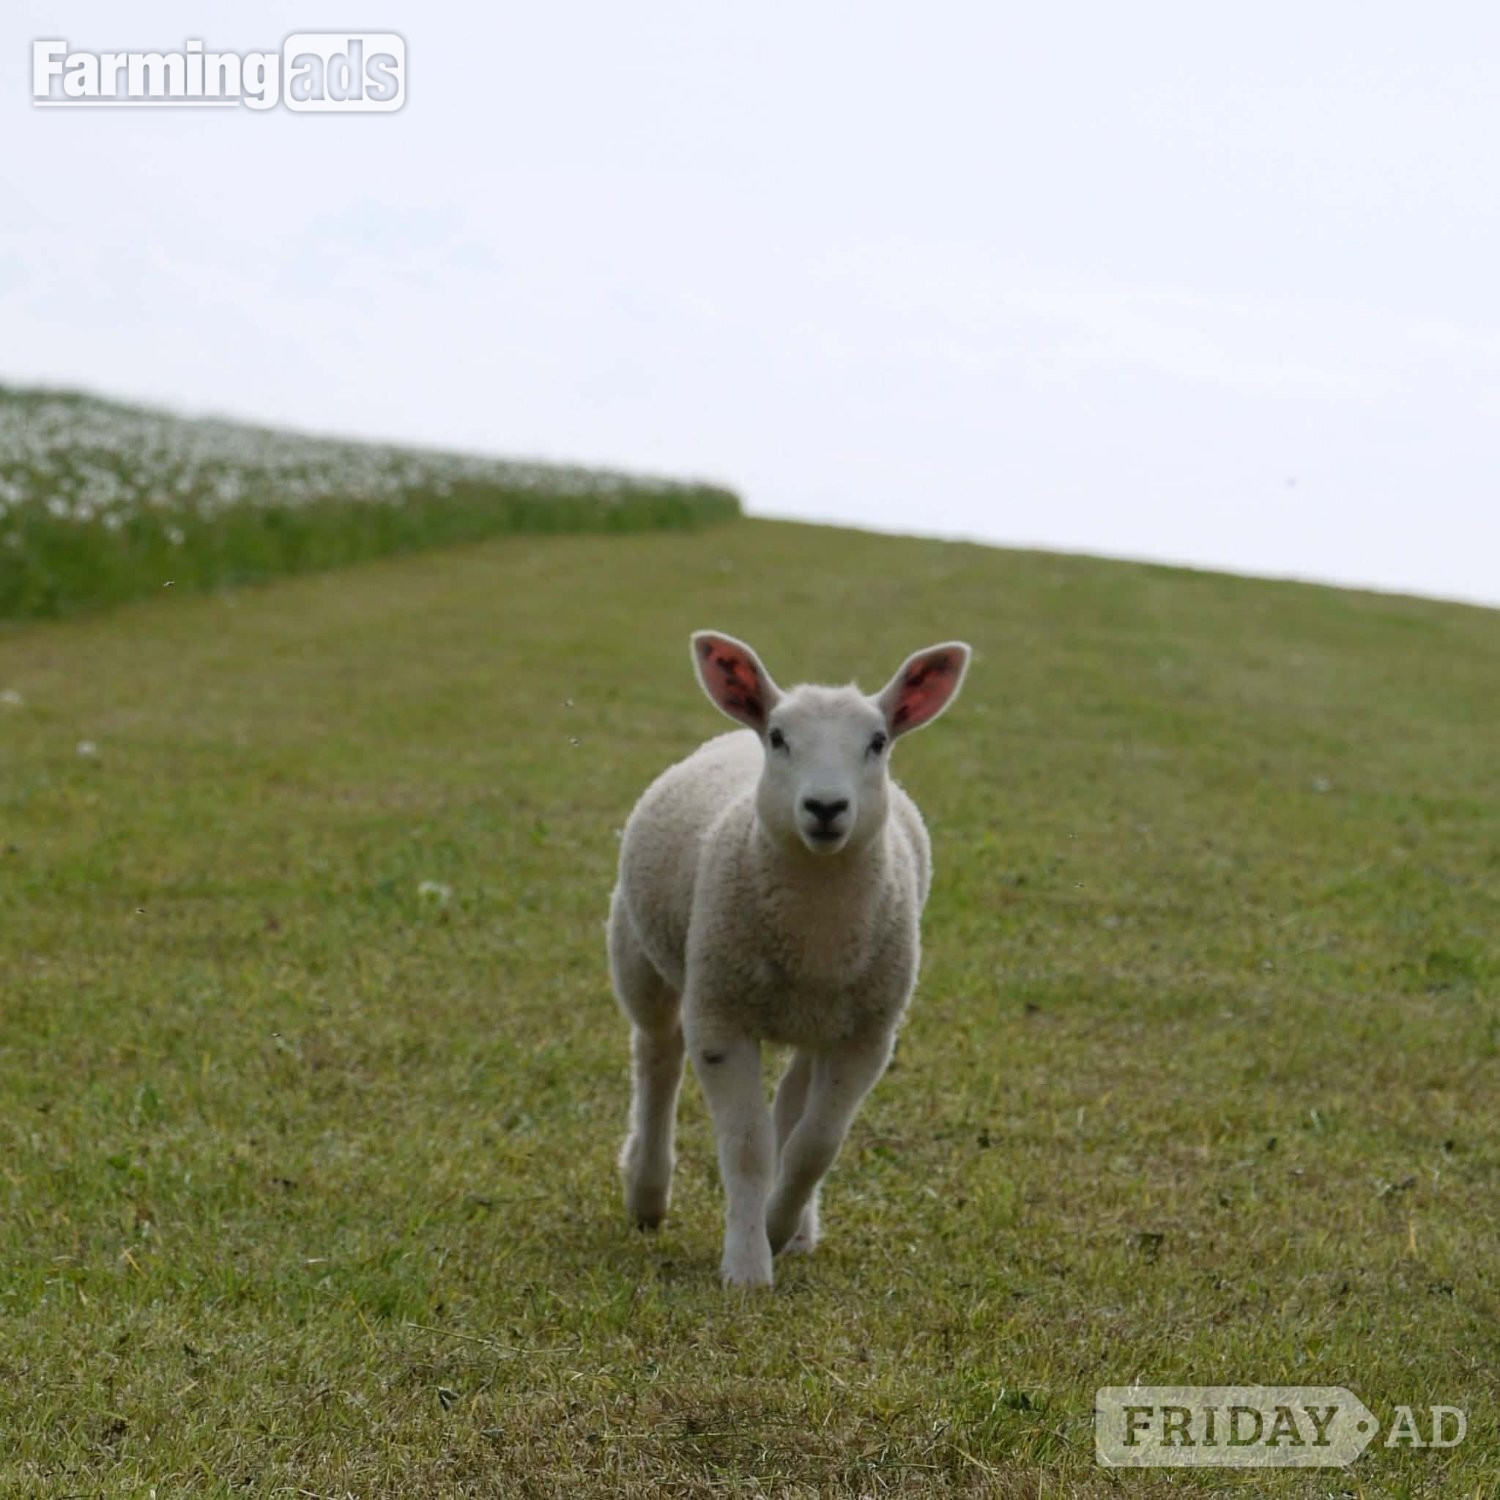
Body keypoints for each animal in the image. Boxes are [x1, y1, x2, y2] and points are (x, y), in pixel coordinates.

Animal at [607, 630, 971, 1287]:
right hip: (640, 952)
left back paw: (796, 1228)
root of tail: (733, 733)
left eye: (877, 742)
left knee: (791, 1098)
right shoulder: (720, 1016)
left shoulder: (868, 1035)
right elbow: (748, 1146)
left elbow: (814, 1145)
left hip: (821, 1016)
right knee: (657, 1056)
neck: (815, 928)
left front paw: (777, 1227)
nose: (825, 807)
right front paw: (747, 1267)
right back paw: (647, 1192)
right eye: (780, 738)